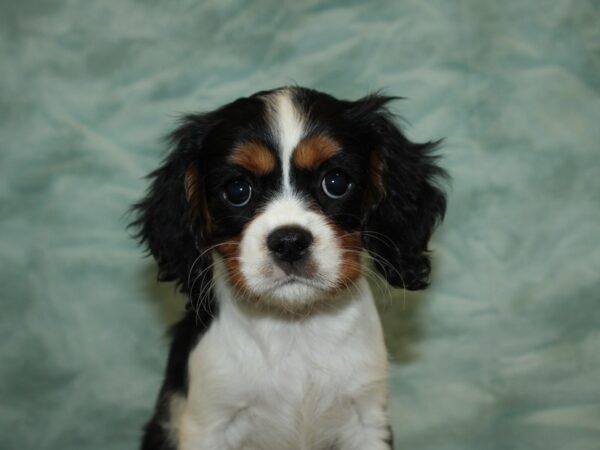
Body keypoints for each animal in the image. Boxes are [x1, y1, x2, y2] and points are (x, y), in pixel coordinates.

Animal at [135, 86, 446, 448]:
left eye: (336, 182)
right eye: (237, 190)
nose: (289, 242)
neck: (295, 325)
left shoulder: (367, 420)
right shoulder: (209, 422)